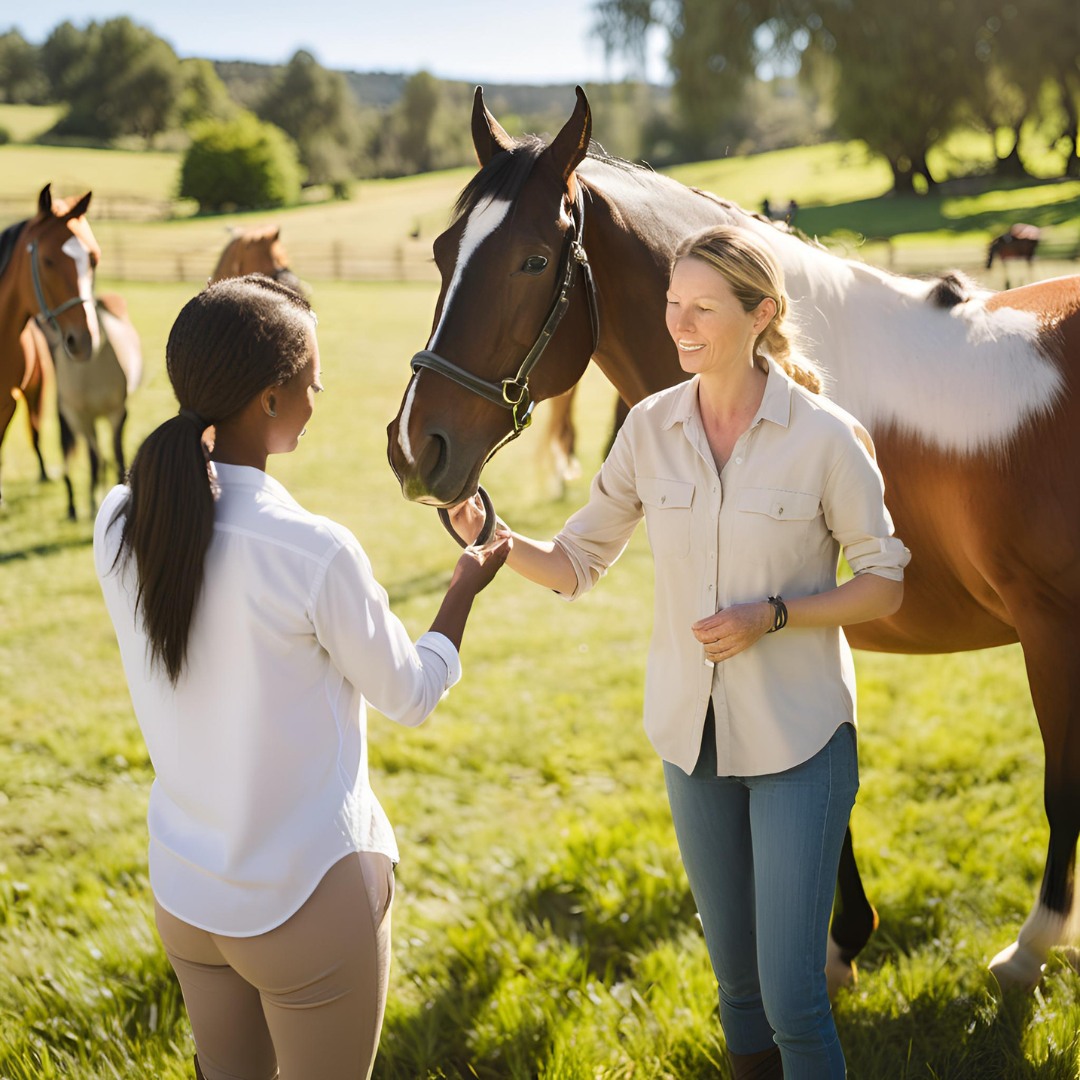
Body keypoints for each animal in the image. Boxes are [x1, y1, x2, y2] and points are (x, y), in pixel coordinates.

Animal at [386, 86, 1080, 993]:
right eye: (441, 251)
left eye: (533, 262)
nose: (414, 447)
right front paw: (841, 937)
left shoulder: (1046, 632)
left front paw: (1004, 948)